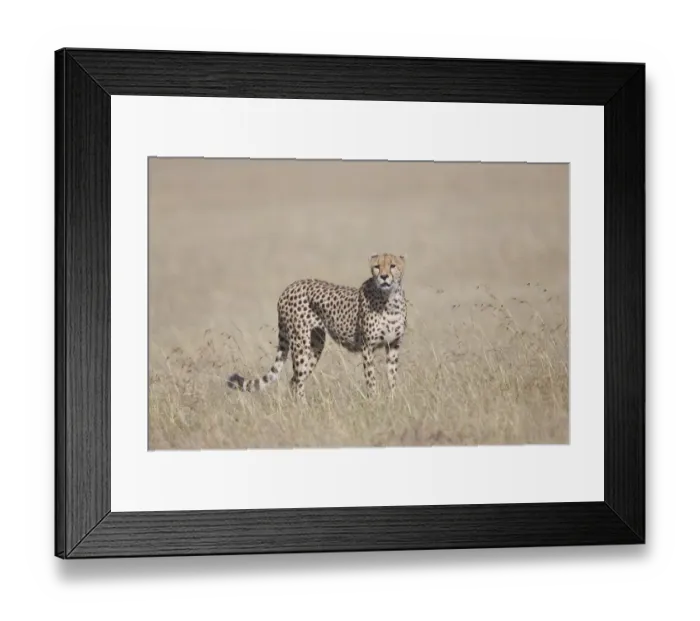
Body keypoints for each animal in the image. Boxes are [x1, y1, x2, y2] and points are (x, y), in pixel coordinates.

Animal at [227, 253, 407, 399]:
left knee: (294, 380)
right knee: (297, 380)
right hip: (300, 343)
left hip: (316, 344)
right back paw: (303, 410)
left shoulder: (393, 345)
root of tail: (289, 287)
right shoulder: (367, 347)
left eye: (393, 265)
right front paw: (374, 401)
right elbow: (371, 379)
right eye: (377, 266)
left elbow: (392, 377)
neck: (389, 300)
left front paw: (392, 401)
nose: (384, 276)